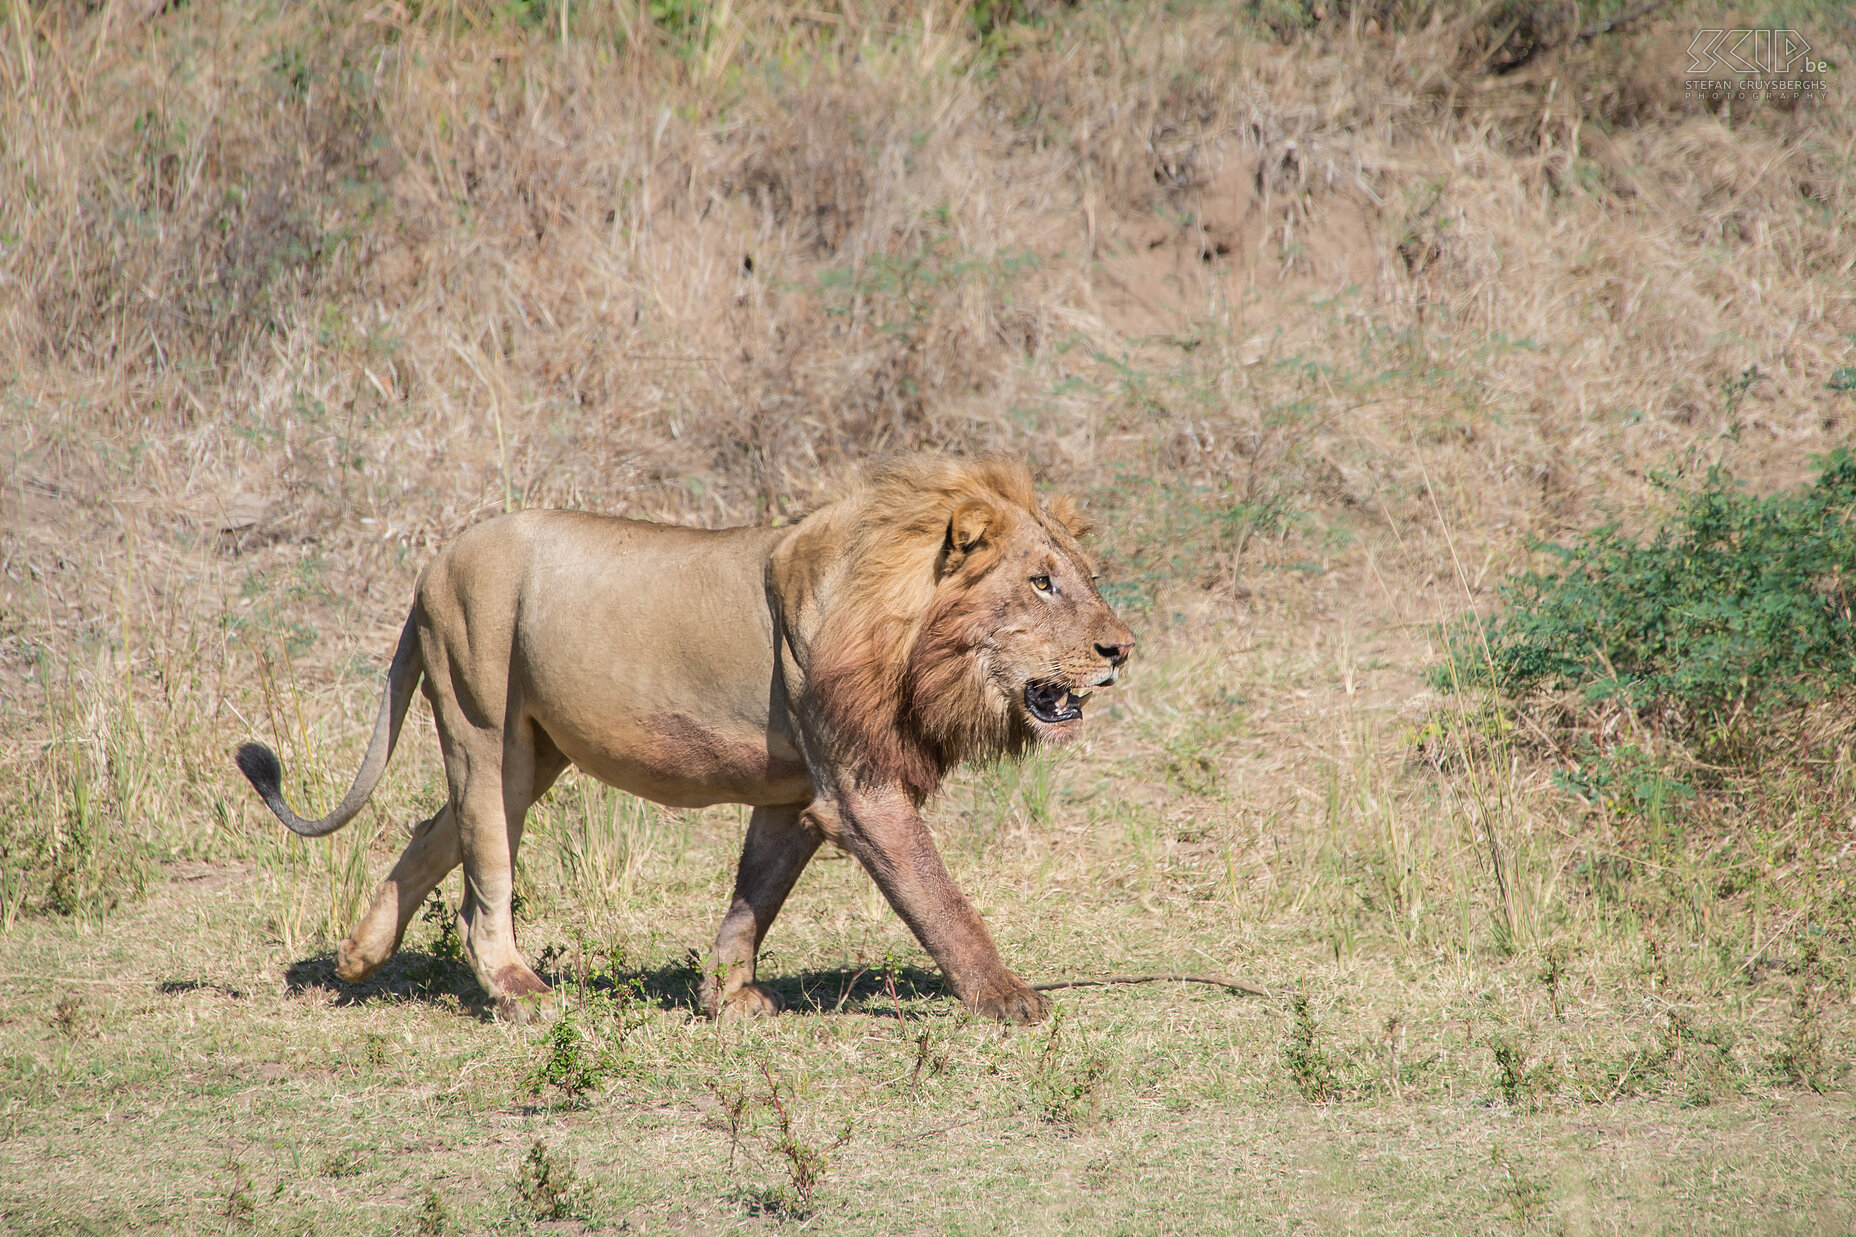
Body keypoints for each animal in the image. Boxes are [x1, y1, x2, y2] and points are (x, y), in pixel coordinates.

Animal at [235, 447, 1128, 1017]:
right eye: (1041, 583)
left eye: (1083, 579)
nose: (1120, 649)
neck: (905, 621)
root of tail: (434, 564)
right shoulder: (861, 790)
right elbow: (939, 897)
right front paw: (1007, 997)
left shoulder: (797, 792)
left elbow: (755, 893)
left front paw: (726, 995)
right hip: (481, 715)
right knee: (484, 874)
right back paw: (517, 989)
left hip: (530, 753)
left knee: (433, 833)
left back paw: (358, 955)